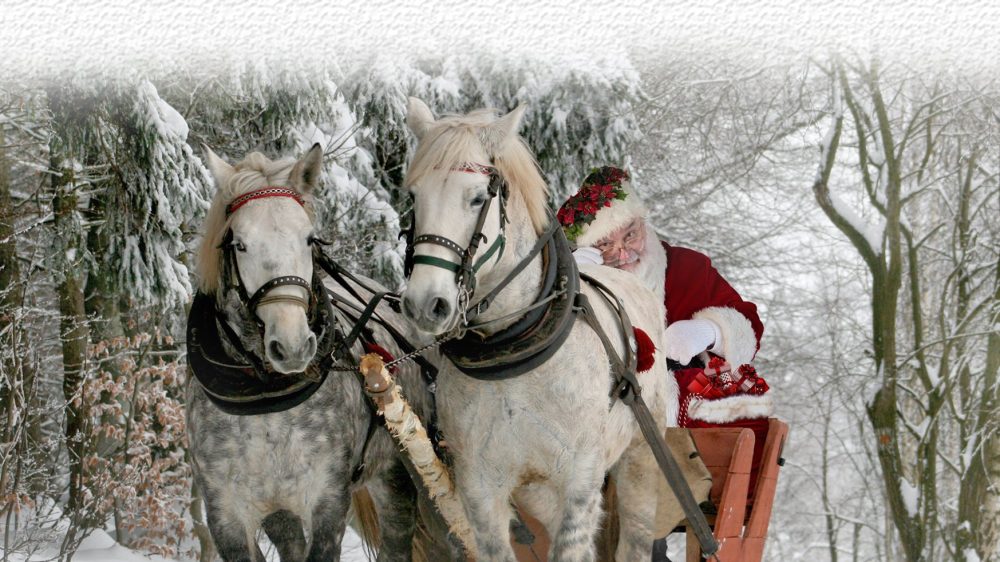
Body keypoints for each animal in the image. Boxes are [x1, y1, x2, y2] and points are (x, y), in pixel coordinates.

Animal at [398, 98, 680, 556]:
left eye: (478, 198)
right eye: (414, 196)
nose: (426, 304)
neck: (515, 352)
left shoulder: (580, 481)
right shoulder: (481, 488)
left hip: (640, 455)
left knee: (635, 537)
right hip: (536, 490)